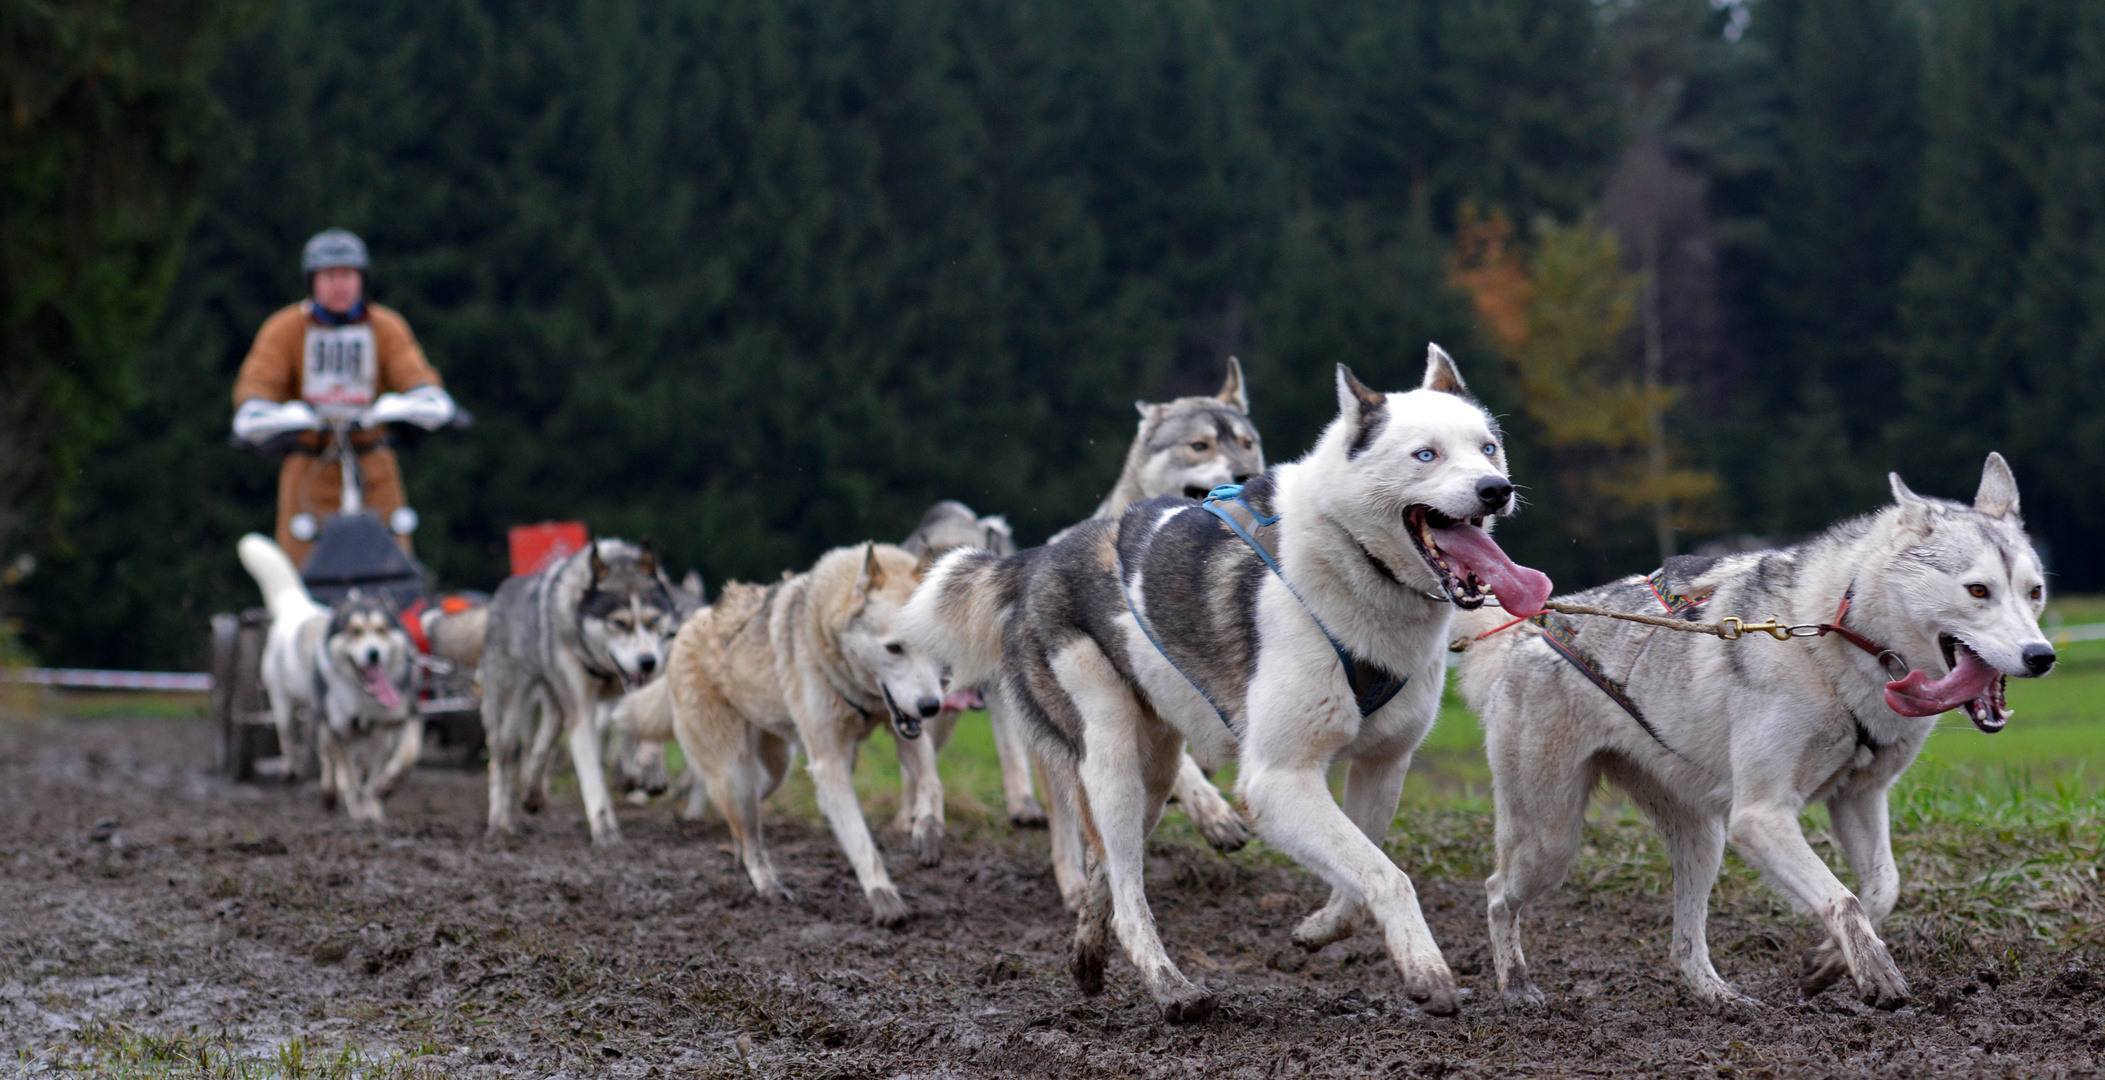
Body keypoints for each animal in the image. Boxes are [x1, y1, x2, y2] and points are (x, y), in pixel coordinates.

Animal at [238, 534, 418, 821]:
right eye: (355, 631)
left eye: (381, 629)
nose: (373, 654)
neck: (362, 694)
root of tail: (299, 609)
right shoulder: (337, 729)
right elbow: (350, 775)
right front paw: (358, 810)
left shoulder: (387, 725)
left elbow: (389, 766)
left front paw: (376, 803)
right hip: (288, 707)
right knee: (298, 745)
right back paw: (304, 778)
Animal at [479, 538, 677, 842]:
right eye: (618, 623)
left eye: (654, 620)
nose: (647, 661)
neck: (609, 671)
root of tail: (502, 591)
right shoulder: (582, 710)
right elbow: (590, 772)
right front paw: (604, 827)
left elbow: (650, 733)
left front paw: (651, 770)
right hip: (510, 710)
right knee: (502, 760)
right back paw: (499, 823)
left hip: (556, 708)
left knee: (542, 745)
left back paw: (533, 794)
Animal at [665, 543, 947, 922]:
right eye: (894, 648)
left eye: (932, 647)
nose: (932, 706)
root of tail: (690, 623)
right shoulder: (829, 764)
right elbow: (860, 839)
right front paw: (883, 896)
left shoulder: (906, 731)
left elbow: (931, 781)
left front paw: (928, 829)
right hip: (736, 775)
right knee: (751, 838)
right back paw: (766, 883)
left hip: (773, 771)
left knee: (744, 821)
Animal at [896, 349, 1557, 1014]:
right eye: (1426, 454)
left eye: (1489, 448)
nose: (1495, 490)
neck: (1351, 562)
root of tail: (1033, 560)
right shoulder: (1277, 780)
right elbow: (1388, 876)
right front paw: (1428, 969)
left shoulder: (1383, 765)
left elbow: (1362, 873)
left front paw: (1322, 928)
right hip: (1110, 757)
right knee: (1129, 893)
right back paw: (1170, 987)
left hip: (1155, 773)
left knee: (1107, 870)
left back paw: (1088, 951)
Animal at [1465, 450, 2054, 1006]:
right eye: (1977, 591)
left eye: (2035, 593)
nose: (2043, 656)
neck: (1836, 637)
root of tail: (1527, 634)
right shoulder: (1761, 816)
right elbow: (1844, 898)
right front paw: (1873, 971)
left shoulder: (1859, 799)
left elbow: (1881, 888)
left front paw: (1829, 960)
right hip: (1551, 841)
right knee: (1495, 893)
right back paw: (1515, 986)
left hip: (1703, 840)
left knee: (1684, 945)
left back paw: (1717, 995)